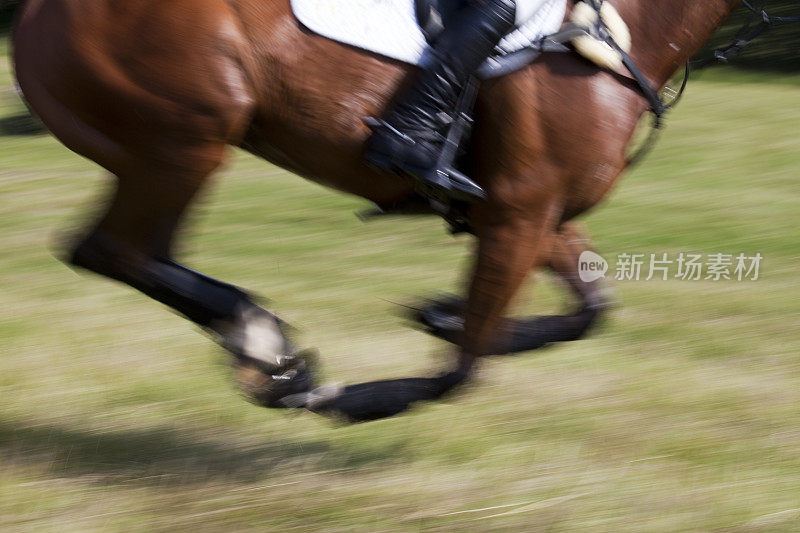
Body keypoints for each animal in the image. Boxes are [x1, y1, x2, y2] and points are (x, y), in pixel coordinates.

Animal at [10, 2, 736, 422]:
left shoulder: (535, 213)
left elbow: (588, 308)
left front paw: (440, 314)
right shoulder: (519, 212)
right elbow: (464, 371)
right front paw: (347, 398)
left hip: (162, 151)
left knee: (132, 253)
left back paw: (263, 345)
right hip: (185, 141)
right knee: (114, 250)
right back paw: (266, 343)